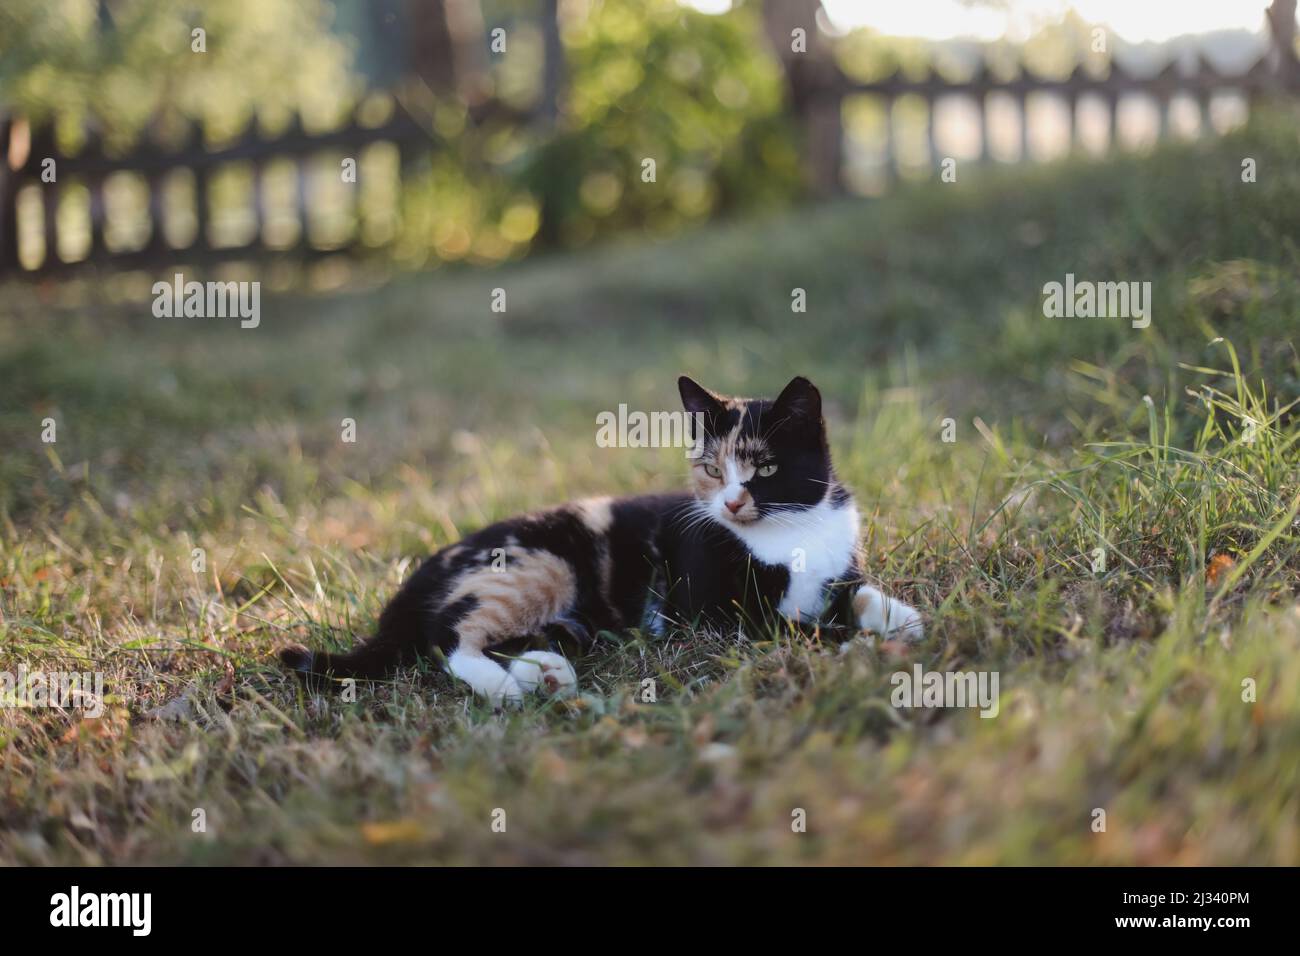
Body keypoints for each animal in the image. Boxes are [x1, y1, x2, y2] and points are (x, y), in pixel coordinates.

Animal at [279, 377, 920, 707]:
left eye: (764, 468)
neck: (790, 531)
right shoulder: (714, 615)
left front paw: (901, 617)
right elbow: (794, 626)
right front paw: (850, 641)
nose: (732, 504)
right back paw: (505, 687)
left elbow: (857, 591)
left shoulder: (839, 561)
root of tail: (417, 579)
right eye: (712, 469)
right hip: (535, 564)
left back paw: (545, 670)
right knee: (448, 635)